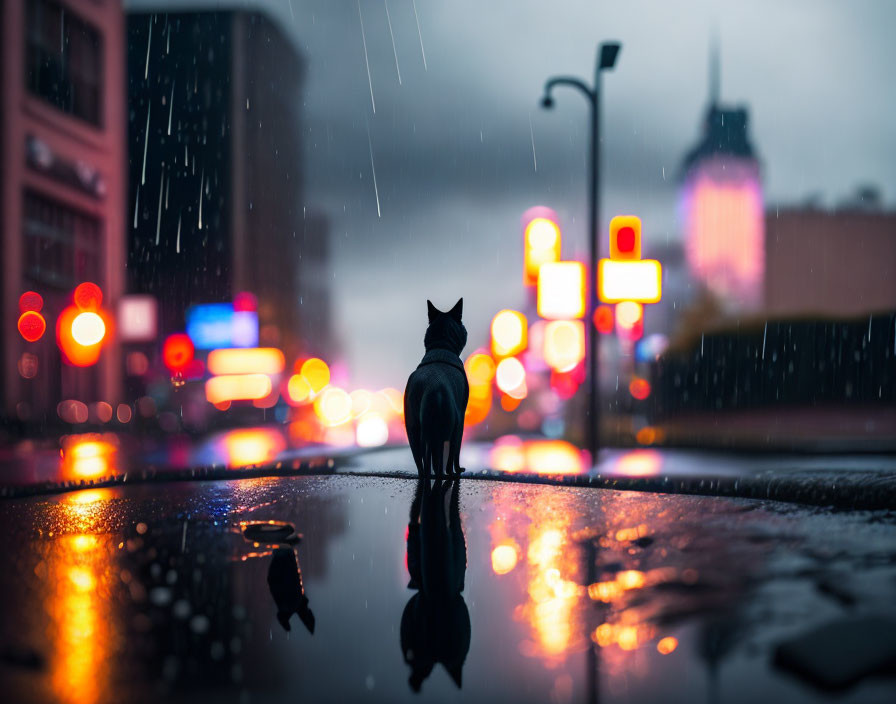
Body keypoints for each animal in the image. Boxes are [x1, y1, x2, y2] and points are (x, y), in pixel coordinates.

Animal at [404, 296, 468, 478]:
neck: (441, 346)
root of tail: (431, 390)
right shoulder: (461, 418)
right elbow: (455, 452)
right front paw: (457, 470)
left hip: (413, 429)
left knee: (421, 461)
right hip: (447, 425)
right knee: (444, 460)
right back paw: (449, 475)